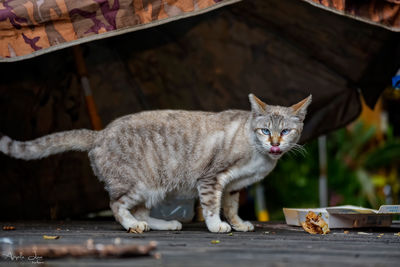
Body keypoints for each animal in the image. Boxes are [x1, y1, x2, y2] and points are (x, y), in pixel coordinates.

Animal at [0, 95, 312, 233]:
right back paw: (134, 226)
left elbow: (232, 206)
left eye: (286, 131)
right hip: (138, 183)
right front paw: (218, 226)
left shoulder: (234, 185)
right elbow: (212, 207)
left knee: (141, 211)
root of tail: (99, 134)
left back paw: (166, 224)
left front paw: (238, 224)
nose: (275, 143)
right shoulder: (211, 179)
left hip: (153, 189)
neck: (258, 156)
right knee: (118, 207)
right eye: (265, 130)